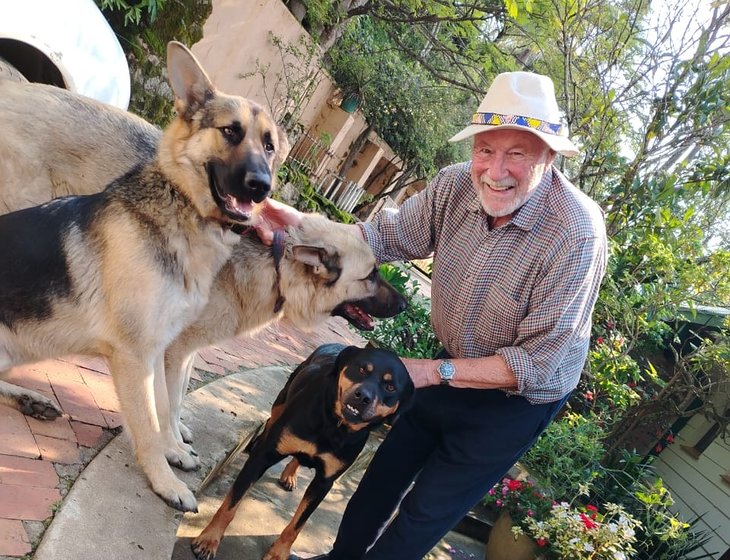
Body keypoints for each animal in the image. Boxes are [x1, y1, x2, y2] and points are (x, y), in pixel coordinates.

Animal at [0, 41, 289, 512]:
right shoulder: (135, 355)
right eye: (230, 131)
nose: (261, 187)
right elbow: (153, 421)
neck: (182, 212)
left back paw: (32, 400)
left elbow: (163, 406)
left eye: (269, 147)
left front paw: (175, 450)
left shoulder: (158, 349)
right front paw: (166, 481)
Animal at [190, 343, 415, 560]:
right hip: (281, 402)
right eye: (361, 369)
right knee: (271, 422)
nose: (363, 397)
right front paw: (209, 540)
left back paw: (290, 474)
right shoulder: (263, 457)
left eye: (390, 387)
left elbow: (298, 525)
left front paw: (279, 553)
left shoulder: (323, 483)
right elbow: (230, 505)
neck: (333, 426)